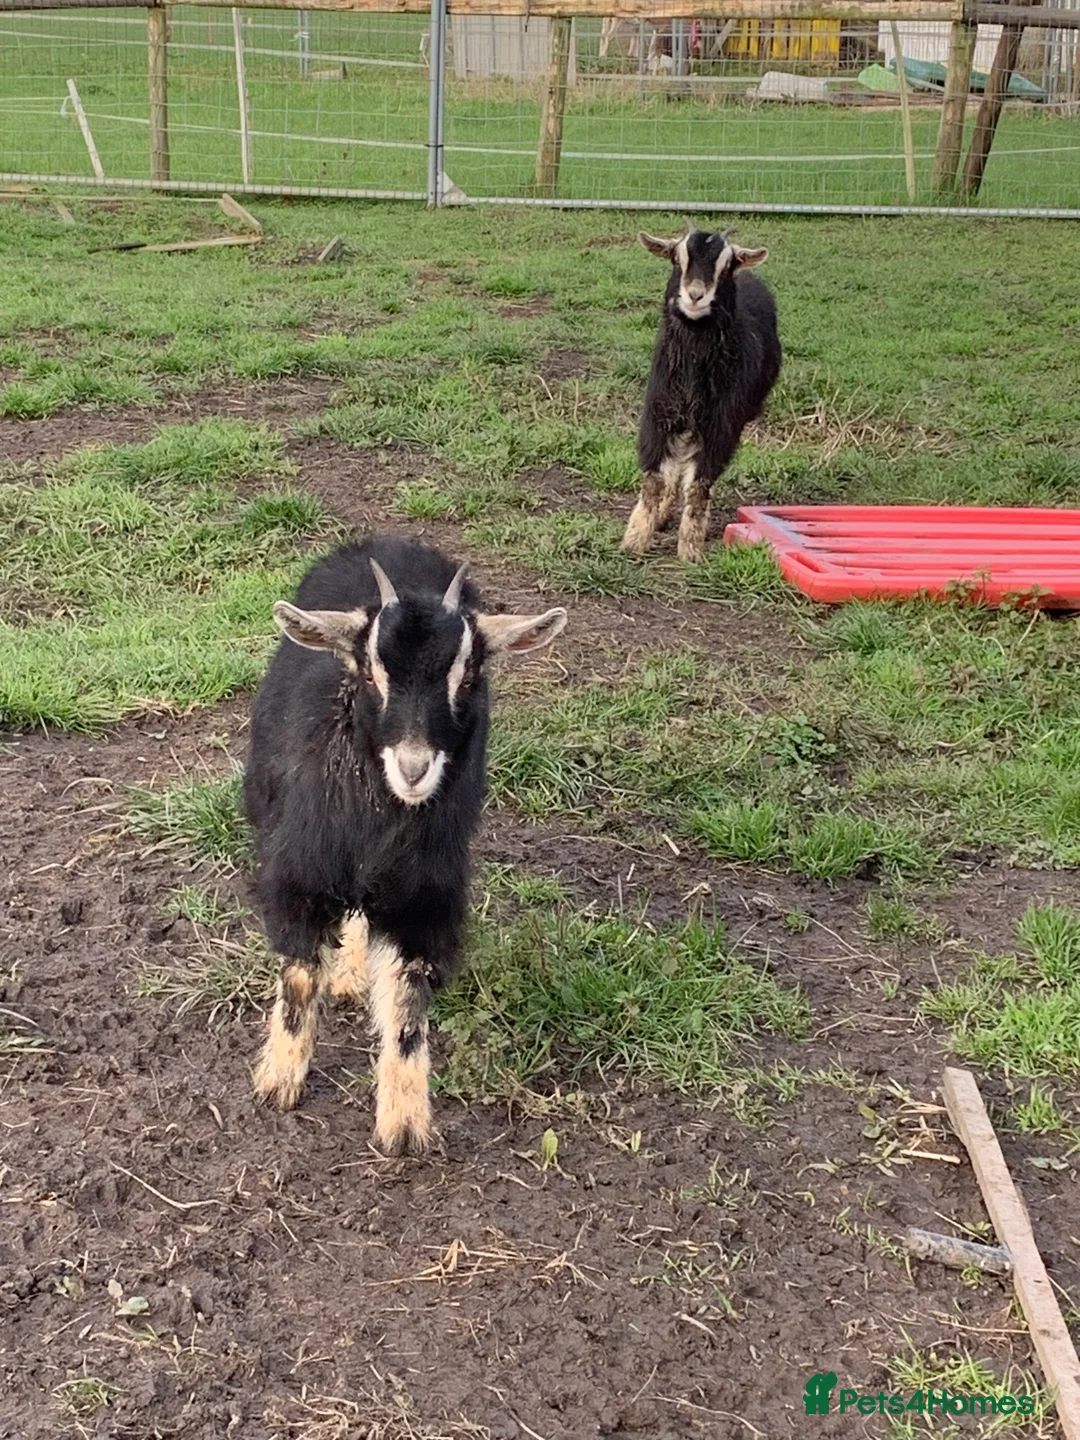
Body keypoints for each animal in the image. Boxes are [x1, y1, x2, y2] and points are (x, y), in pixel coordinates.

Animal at [245, 534, 567, 1155]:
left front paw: (404, 1123)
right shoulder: (299, 873)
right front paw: (279, 1079)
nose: (414, 768)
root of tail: (391, 542)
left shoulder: (424, 898)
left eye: (467, 678)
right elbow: (299, 979)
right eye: (370, 674)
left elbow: (408, 1007)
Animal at [622, 224, 781, 563]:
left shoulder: (719, 426)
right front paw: (635, 539)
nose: (695, 295)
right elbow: (654, 480)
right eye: (677, 258)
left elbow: (699, 486)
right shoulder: (658, 415)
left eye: (726, 265)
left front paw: (690, 549)